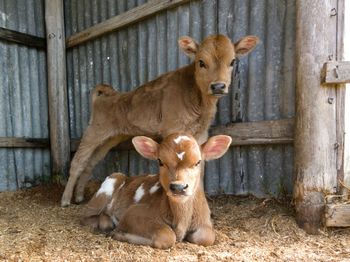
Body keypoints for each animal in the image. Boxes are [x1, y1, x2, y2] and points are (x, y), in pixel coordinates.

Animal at [60, 33, 258, 207]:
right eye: (201, 62)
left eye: (232, 62)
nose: (218, 86)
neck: (200, 103)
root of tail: (106, 96)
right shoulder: (172, 129)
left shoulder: (201, 134)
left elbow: (199, 168)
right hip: (94, 131)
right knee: (78, 162)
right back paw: (65, 199)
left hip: (109, 139)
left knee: (90, 163)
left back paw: (79, 196)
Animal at [80, 134, 231, 249]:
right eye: (160, 161)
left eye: (198, 162)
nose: (178, 187)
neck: (181, 220)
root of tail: (128, 176)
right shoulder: (132, 212)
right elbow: (167, 236)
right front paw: (119, 234)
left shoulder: (205, 220)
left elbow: (206, 237)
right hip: (110, 182)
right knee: (88, 216)